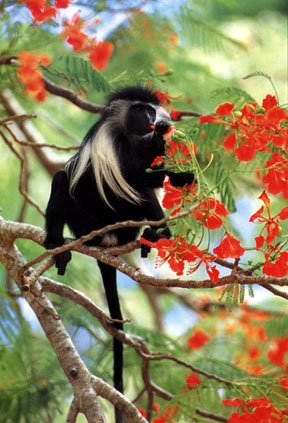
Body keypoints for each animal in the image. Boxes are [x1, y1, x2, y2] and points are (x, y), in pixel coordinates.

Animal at [44, 84, 195, 422]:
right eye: (140, 110)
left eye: (152, 111)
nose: (152, 120)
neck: (132, 136)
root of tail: (108, 240)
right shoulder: (108, 142)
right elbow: (129, 177)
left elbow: (154, 174)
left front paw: (171, 157)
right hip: (84, 222)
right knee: (64, 179)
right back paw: (56, 245)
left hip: (127, 228)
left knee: (144, 191)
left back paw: (156, 234)